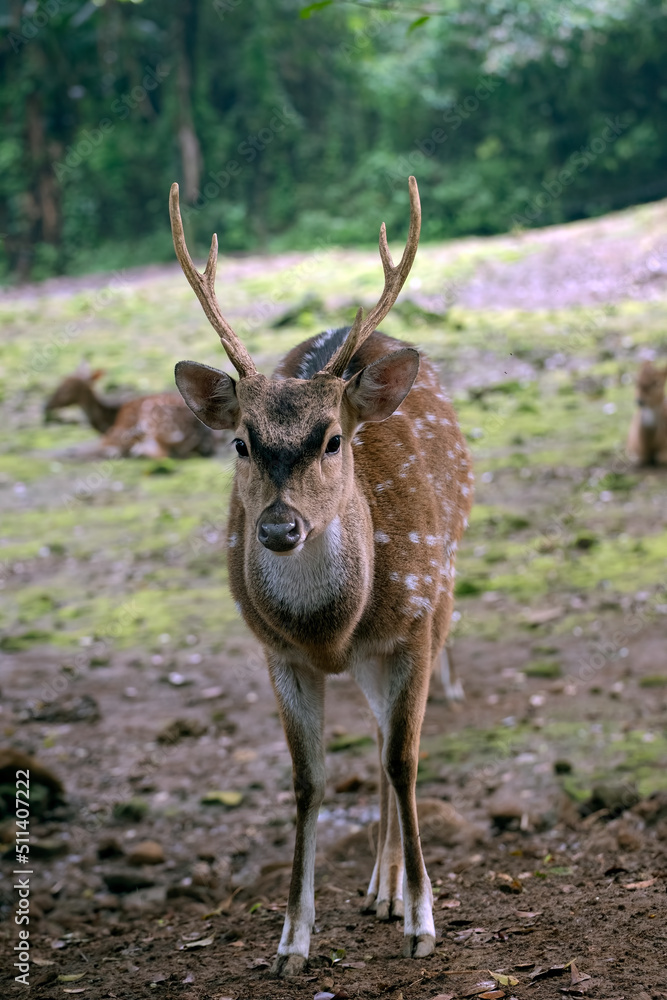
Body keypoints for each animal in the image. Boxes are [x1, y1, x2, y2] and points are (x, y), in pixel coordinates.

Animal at [45, 362, 215, 458]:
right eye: (60, 382)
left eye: (68, 386)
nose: (46, 405)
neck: (108, 419)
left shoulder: (117, 431)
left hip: (153, 418)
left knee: (160, 453)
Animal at [169, 176, 473, 976]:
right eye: (241, 444)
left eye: (334, 440)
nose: (279, 528)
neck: (331, 630)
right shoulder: (276, 652)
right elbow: (307, 783)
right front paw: (291, 942)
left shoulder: (413, 625)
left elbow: (403, 759)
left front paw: (422, 923)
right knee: (371, 734)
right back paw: (376, 888)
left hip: (443, 590)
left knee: (391, 744)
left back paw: (390, 891)